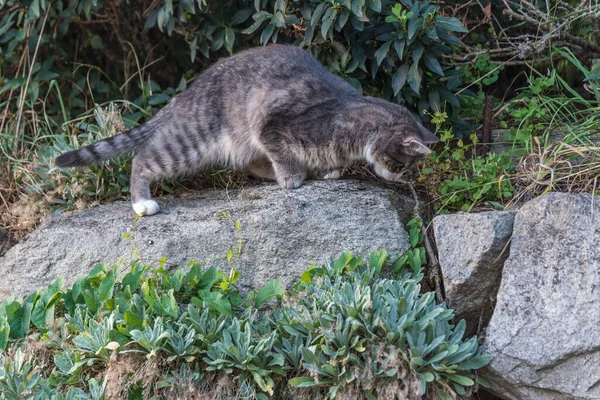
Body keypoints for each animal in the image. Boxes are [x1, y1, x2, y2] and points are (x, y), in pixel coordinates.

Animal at [55, 44, 436, 216]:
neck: (348, 113)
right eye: (403, 163)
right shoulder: (271, 125)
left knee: (250, 163)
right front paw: (292, 177)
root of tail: (190, 90)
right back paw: (142, 202)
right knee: (143, 158)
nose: (399, 178)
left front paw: (328, 171)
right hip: (191, 141)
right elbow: (281, 152)